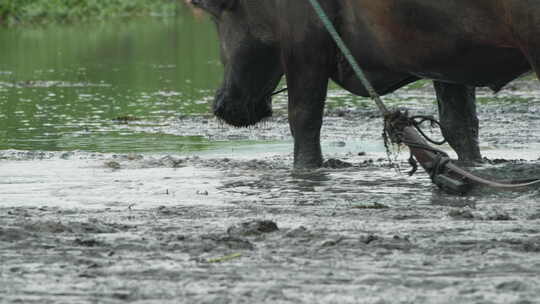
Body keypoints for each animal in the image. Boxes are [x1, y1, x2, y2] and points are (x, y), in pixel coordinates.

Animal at [191, 0, 536, 169]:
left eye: (216, 15)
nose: (220, 103)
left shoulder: (304, 45)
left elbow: (304, 120)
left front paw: (307, 168)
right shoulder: (445, 57)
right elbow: (460, 126)